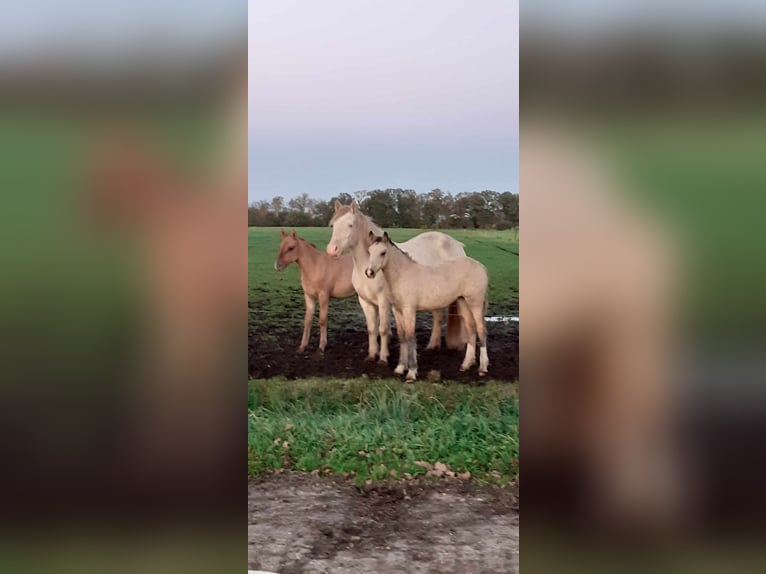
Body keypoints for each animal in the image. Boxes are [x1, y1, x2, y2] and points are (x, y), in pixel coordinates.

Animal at [328, 201, 464, 364]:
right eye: (333, 225)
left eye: (350, 224)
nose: (332, 250)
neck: (367, 265)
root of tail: (457, 244)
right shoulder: (365, 302)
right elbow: (372, 329)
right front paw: (371, 355)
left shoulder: (384, 302)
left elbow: (383, 329)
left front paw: (383, 357)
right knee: (437, 317)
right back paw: (432, 346)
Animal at [368, 230, 492, 382]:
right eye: (369, 251)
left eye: (383, 252)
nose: (369, 272)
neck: (403, 275)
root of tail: (481, 266)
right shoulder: (397, 310)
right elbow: (402, 336)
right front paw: (400, 368)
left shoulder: (409, 310)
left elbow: (410, 337)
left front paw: (411, 373)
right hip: (462, 302)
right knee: (471, 329)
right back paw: (466, 365)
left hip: (475, 303)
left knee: (481, 330)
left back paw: (482, 368)